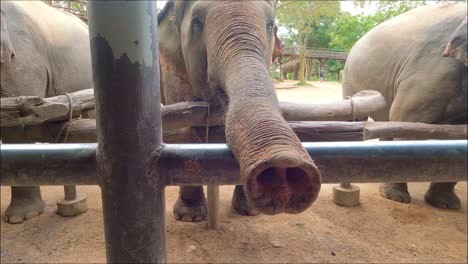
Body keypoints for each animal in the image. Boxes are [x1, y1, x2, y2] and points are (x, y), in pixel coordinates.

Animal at [159, 1, 320, 222]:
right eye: (197, 24)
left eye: (270, 24)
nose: (283, 164)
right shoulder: (173, 75)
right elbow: (189, 133)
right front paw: (189, 217)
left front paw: (250, 211)